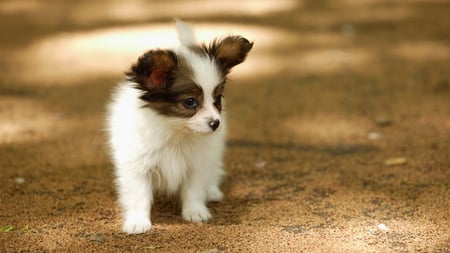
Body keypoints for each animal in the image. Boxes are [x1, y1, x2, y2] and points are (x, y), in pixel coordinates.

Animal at [106, 20, 253, 234]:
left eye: (217, 99)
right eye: (190, 102)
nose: (216, 123)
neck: (175, 131)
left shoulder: (198, 163)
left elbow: (194, 190)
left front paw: (195, 212)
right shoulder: (137, 166)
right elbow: (139, 196)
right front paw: (138, 222)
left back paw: (212, 191)